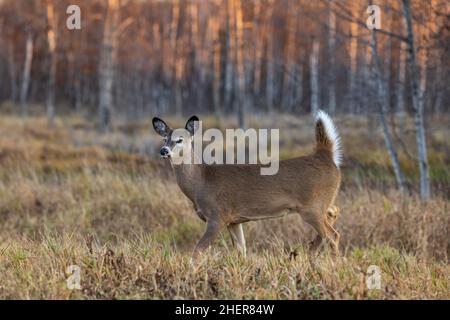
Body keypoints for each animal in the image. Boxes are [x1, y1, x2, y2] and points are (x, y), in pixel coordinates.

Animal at [153, 110, 342, 258]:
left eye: (180, 140)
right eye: (164, 139)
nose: (164, 151)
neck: (201, 183)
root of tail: (325, 156)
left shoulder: (218, 215)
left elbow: (197, 251)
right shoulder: (234, 221)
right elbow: (241, 251)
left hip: (312, 206)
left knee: (332, 235)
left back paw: (331, 263)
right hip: (321, 204)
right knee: (332, 216)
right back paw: (308, 256)